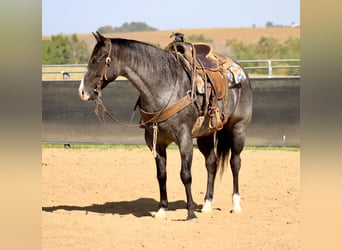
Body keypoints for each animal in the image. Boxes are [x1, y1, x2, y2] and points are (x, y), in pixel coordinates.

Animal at [79, 31, 252, 221]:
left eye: (97, 59)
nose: (82, 91)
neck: (164, 87)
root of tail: (240, 70)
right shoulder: (155, 142)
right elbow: (161, 175)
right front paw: (161, 210)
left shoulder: (184, 139)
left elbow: (185, 175)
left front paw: (190, 213)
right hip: (205, 135)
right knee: (211, 163)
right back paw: (207, 204)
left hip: (238, 129)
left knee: (235, 162)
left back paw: (236, 205)